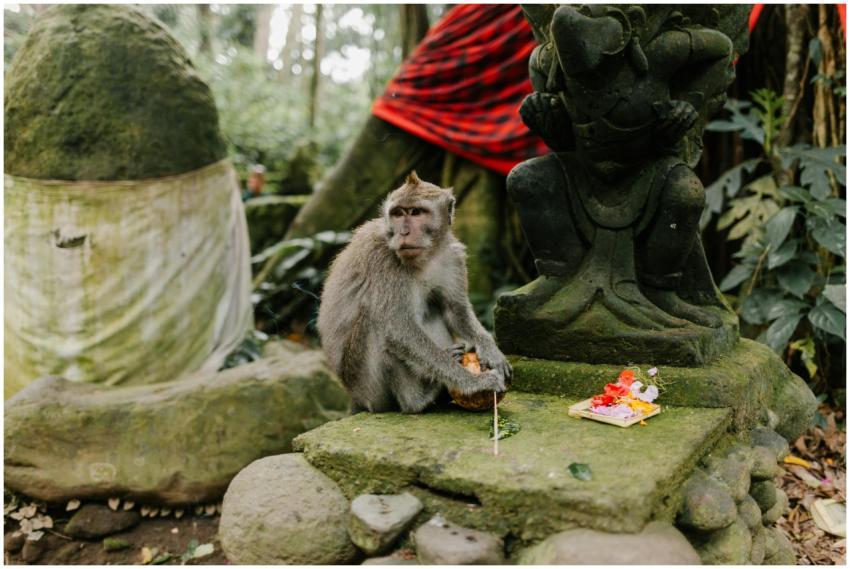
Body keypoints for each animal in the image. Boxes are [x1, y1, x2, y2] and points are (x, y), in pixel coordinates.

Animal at [317, 171, 512, 413]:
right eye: (398, 213)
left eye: (416, 212)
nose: (403, 232)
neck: (427, 256)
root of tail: (355, 397)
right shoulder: (385, 261)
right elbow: (397, 328)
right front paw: (473, 383)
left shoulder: (453, 256)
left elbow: (454, 309)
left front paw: (490, 349)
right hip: (366, 385)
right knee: (375, 320)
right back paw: (418, 399)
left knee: (431, 308)